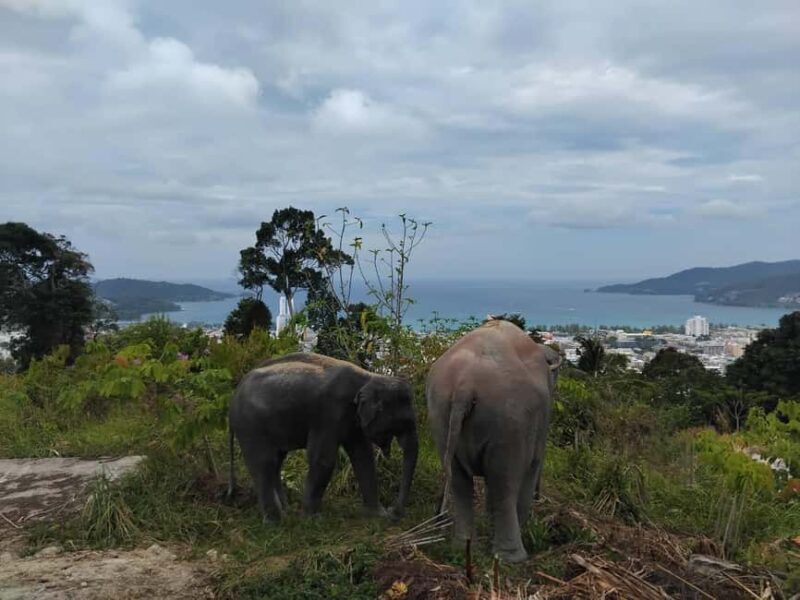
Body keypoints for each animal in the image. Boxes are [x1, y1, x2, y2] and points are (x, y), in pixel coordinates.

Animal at [228, 352, 418, 521]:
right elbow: (323, 460)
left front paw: (377, 515)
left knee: (276, 462)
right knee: (264, 464)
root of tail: (235, 395)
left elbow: (363, 456)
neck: (369, 376)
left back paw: (286, 512)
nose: (395, 512)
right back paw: (276, 521)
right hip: (251, 426)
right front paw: (313, 519)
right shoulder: (329, 414)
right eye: (403, 421)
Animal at [426, 319, 561, 562]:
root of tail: (464, 384)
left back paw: (462, 547)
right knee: (505, 483)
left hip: (440, 413)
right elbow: (532, 465)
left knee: (460, 481)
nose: (541, 499)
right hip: (509, 423)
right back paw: (513, 558)